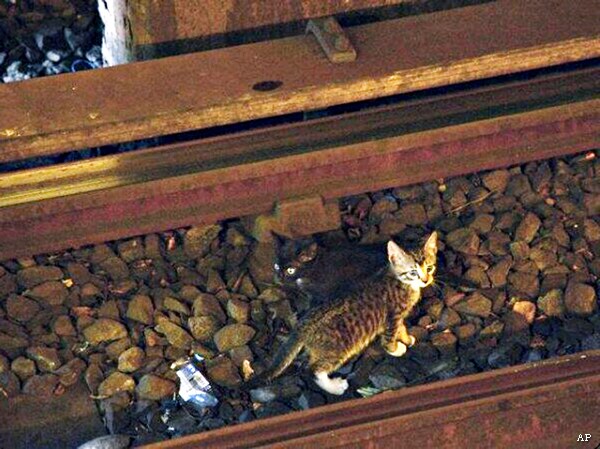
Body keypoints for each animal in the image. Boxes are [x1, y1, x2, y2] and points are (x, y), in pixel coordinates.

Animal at [248, 233, 436, 394]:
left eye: (430, 267)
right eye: (413, 272)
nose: (426, 280)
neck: (400, 281)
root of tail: (302, 326)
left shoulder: (398, 317)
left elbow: (401, 328)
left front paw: (407, 339)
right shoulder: (392, 317)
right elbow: (389, 337)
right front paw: (396, 349)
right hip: (338, 349)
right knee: (313, 370)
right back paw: (336, 387)